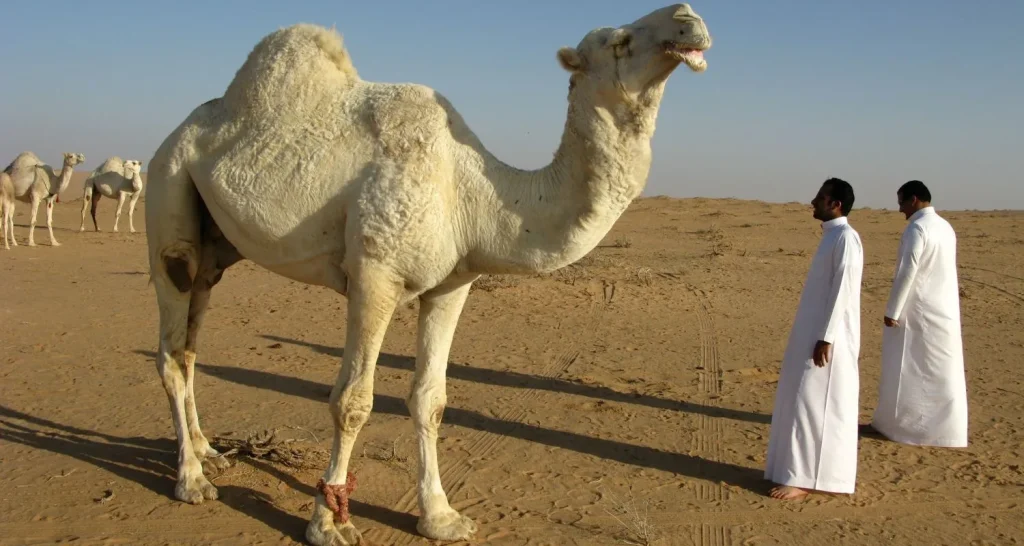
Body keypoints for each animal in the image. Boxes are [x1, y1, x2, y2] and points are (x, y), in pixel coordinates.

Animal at [144, 4, 711, 544]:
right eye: (619, 40)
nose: (688, 19)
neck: (474, 194)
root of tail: (175, 133)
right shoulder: (374, 276)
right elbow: (352, 402)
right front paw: (329, 524)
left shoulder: (452, 285)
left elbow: (430, 400)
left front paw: (441, 517)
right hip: (168, 191)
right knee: (171, 348)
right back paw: (192, 480)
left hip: (214, 248)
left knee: (191, 344)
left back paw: (208, 451)